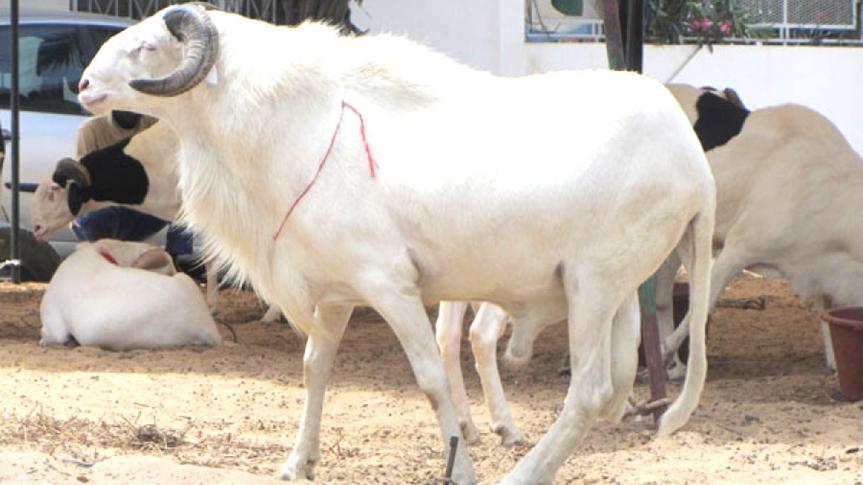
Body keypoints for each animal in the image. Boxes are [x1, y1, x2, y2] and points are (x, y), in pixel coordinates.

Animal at [79, 5, 716, 482]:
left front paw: (461, 469)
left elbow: (431, 379)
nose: (83, 85)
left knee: (586, 393)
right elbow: (314, 369)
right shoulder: (336, 292)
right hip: (618, 295)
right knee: (610, 389)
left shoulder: (390, 285)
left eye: (147, 48)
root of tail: (693, 158)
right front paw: (298, 462)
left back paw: (523, 473)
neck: (300, 121)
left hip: (593, 285)